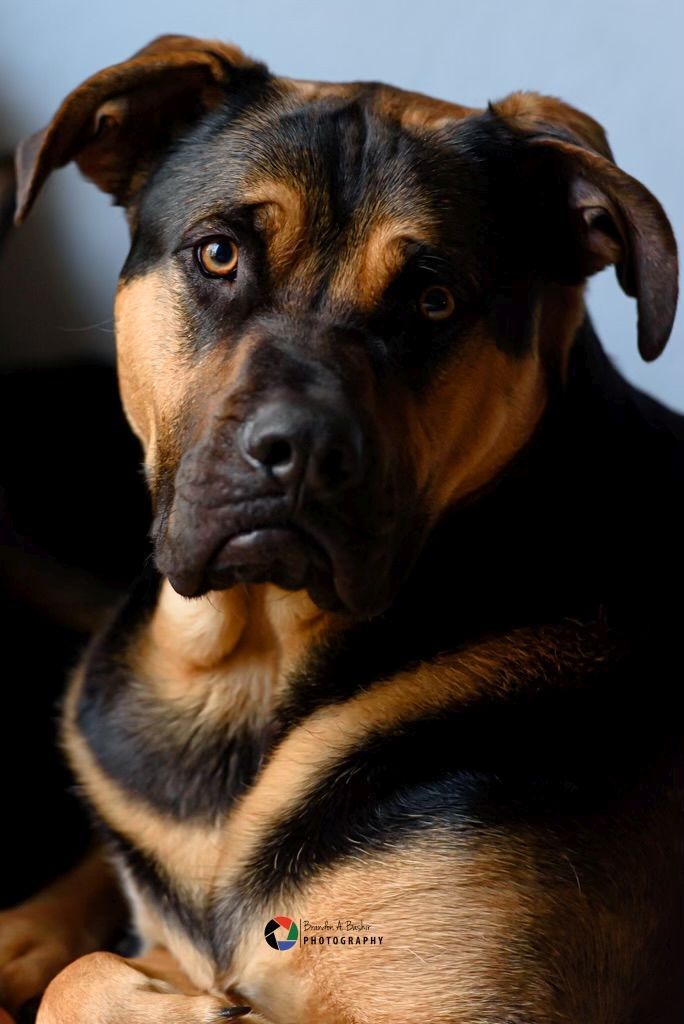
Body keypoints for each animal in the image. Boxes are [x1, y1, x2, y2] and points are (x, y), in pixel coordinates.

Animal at [1, 32, 684, 1024]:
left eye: (433, 300)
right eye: (219, 254)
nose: (300, 451)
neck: (254, 666)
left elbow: (94, 980)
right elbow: (82, 975)